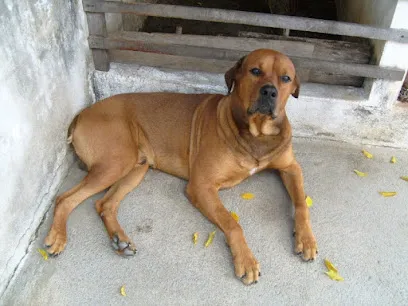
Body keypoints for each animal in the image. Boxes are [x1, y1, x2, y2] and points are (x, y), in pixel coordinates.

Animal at [45, 47, 318, 284]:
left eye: (285, 78)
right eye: (255, 71)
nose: (270, 92)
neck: (256, 133)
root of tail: (82, 114)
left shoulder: (291, 167)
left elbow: (301, 203)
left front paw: (306, 239)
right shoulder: (201, 186)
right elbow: (232, 223)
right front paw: (246, 260)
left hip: (136, 167)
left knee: (104, 204)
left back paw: (119, 239)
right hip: (115, 162)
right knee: (64, 198)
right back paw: (57, 236)